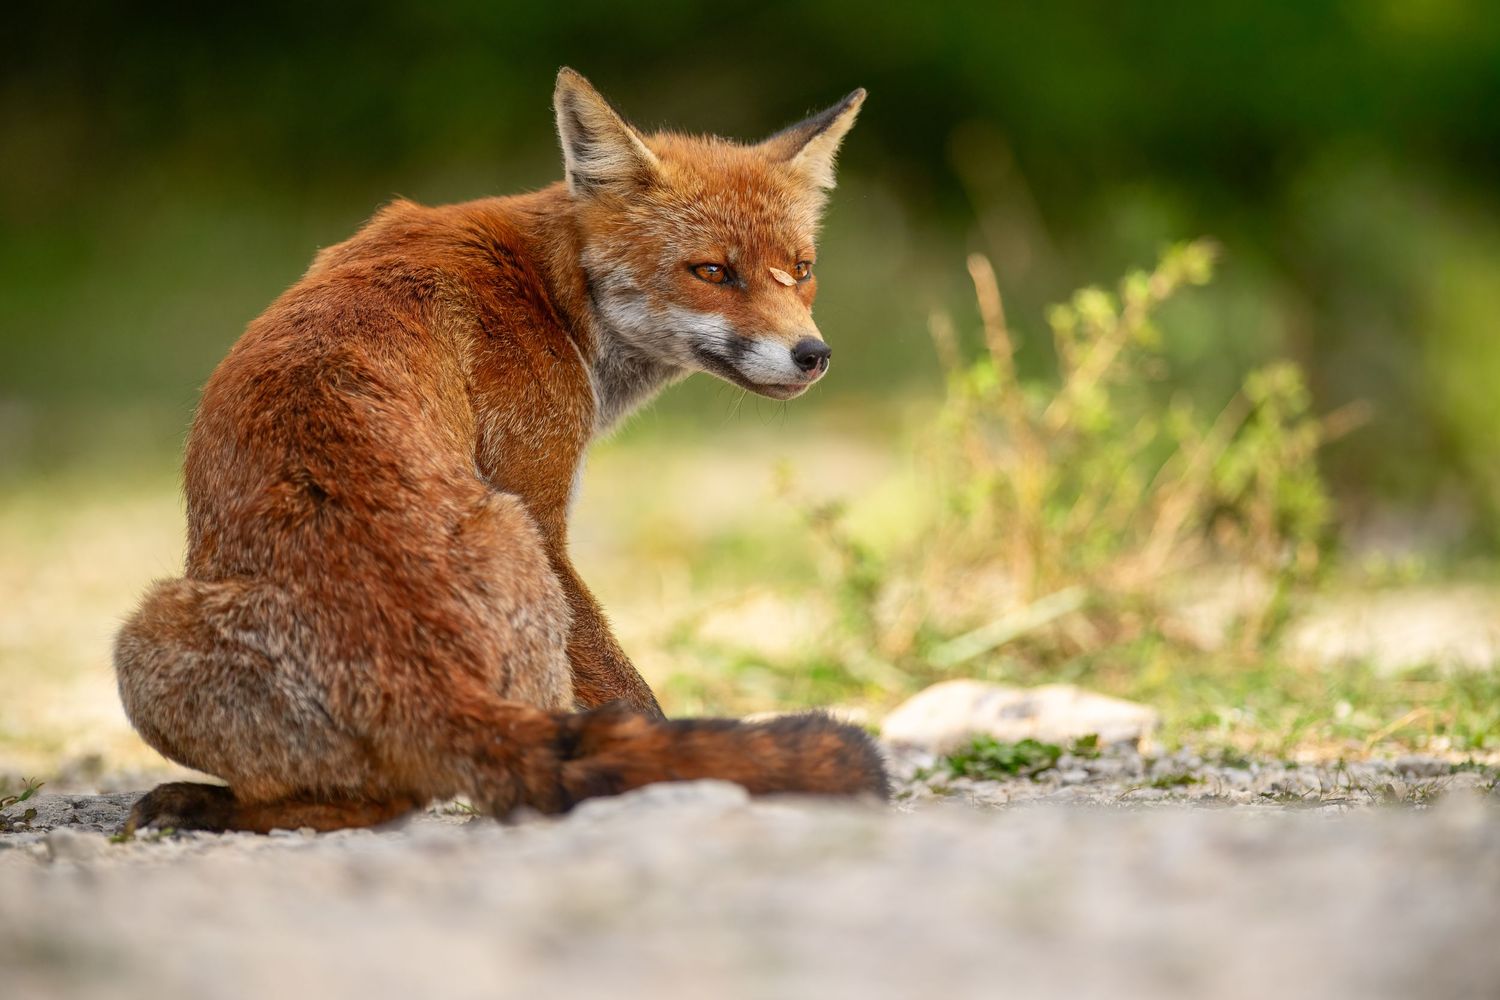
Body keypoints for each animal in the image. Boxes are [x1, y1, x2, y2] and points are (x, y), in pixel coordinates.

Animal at [113, 68, 887, 834]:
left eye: (801, 268)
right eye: (712, 272)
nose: (812, 354)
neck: (550, 289)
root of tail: (424, 685)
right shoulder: (540, 502)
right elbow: (628, 693)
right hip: (142, 639)